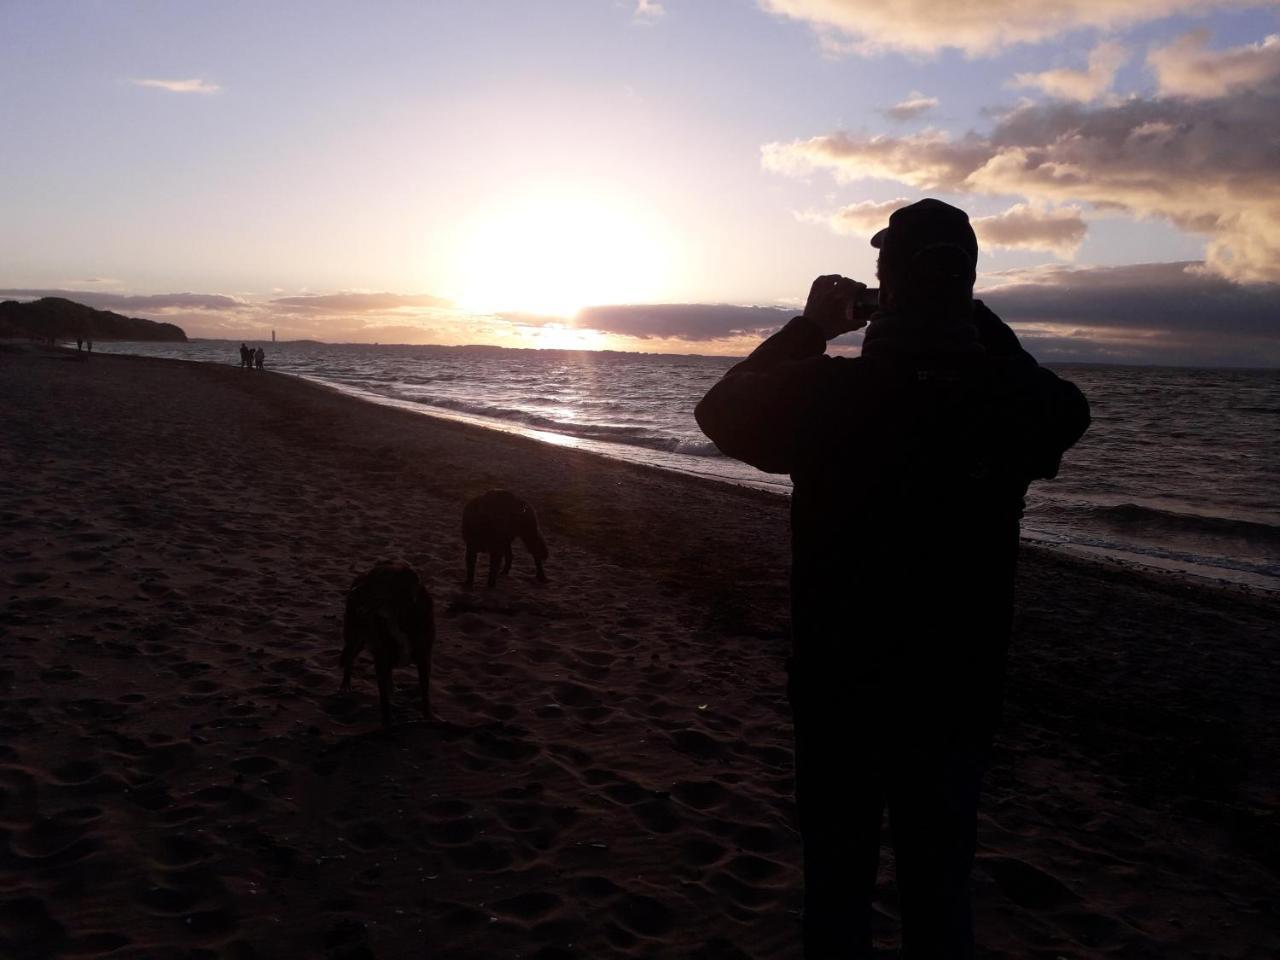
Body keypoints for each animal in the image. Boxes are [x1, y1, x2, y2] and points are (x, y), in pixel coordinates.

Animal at [337, 560, 437, 727]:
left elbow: (425, 693)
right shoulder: (381, 659)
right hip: (355, 636)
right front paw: (387, 724)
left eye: (379, 580)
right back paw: (346, 685)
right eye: (370, 576)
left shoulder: (424, 658)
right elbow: (384, 701)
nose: (352, 592)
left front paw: (428, 717)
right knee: (350, 657)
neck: (398, 615)